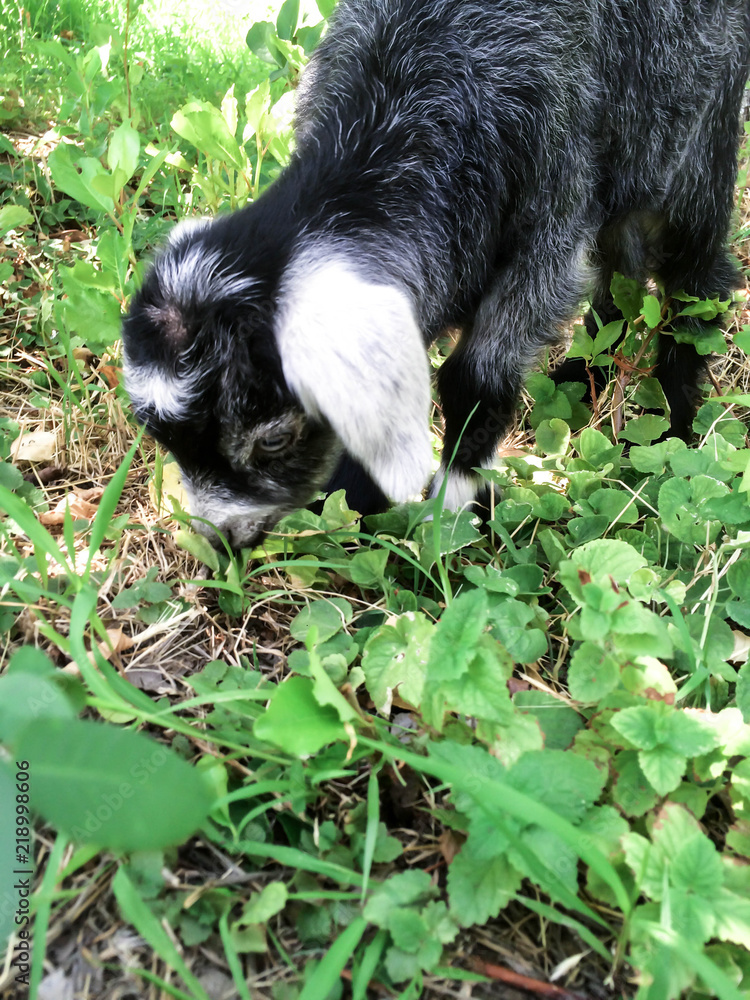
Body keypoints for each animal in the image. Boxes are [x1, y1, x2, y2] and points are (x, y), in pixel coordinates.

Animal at [122, 0, 750, 550]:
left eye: (273, 439)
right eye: (165, 440)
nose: (219, 542)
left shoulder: (553, 207)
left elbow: (475, 376)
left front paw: (451, 510)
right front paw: (353, 503)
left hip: (701, 122)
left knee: (696, 277)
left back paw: (679, 425)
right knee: (622, 268)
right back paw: (585, 372)